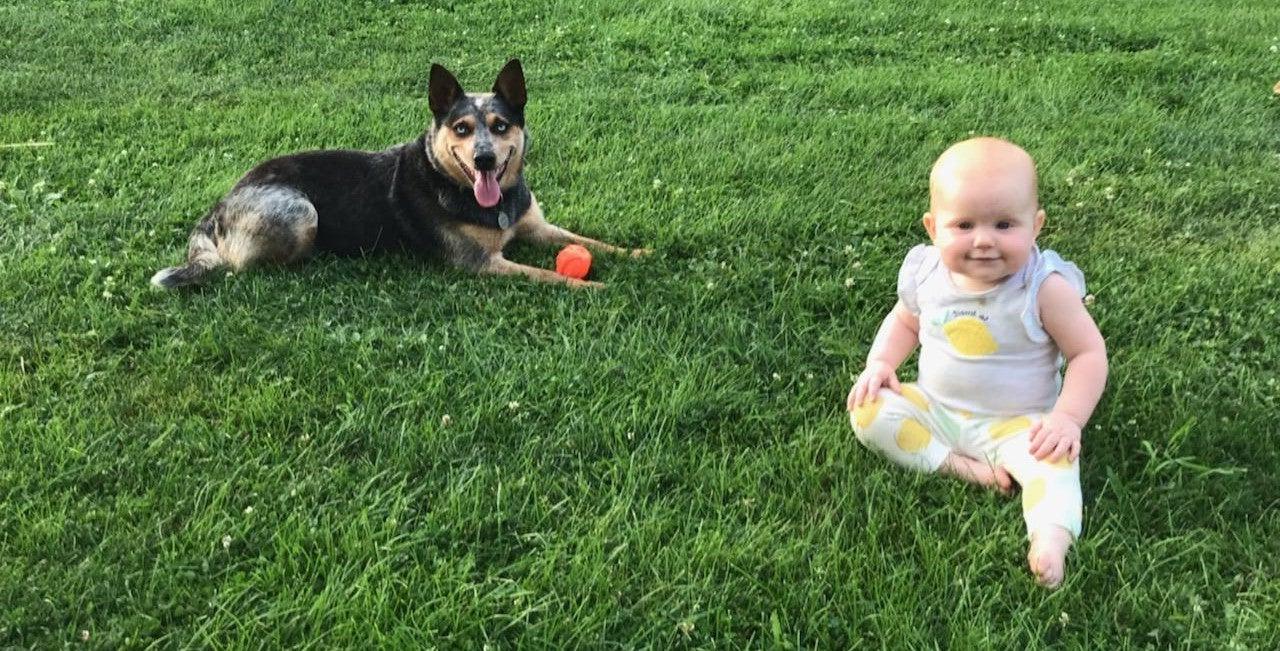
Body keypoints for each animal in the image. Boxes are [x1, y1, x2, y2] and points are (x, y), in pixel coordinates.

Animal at [153, 59, 645, 289]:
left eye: (500, 125)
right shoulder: (483, 265)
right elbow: (552, 276)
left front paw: (637, 253)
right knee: (241, 265)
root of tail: (217, 208)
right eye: (461, 128)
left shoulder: (535, 225)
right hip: (300, 212)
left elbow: (588, 240)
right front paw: (595, 286)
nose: (484, 160)